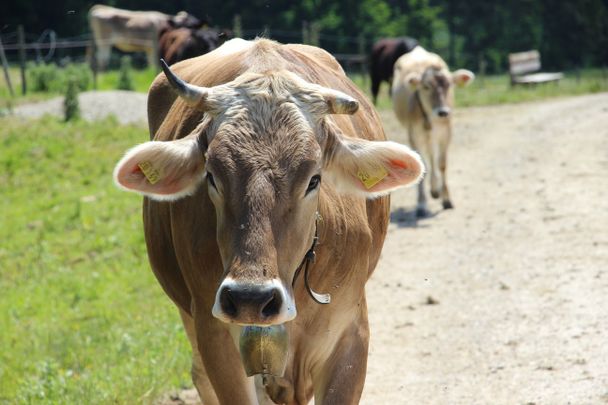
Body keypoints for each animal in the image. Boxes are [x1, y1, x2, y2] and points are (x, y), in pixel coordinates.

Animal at [392, 45, 472, 216]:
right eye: (426, 87)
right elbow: (421, 164)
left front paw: (446, 199)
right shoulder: (413, 133)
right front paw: (421, 204)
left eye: (449, 84)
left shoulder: (446, 131)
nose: (442, 112)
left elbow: (442, 164)